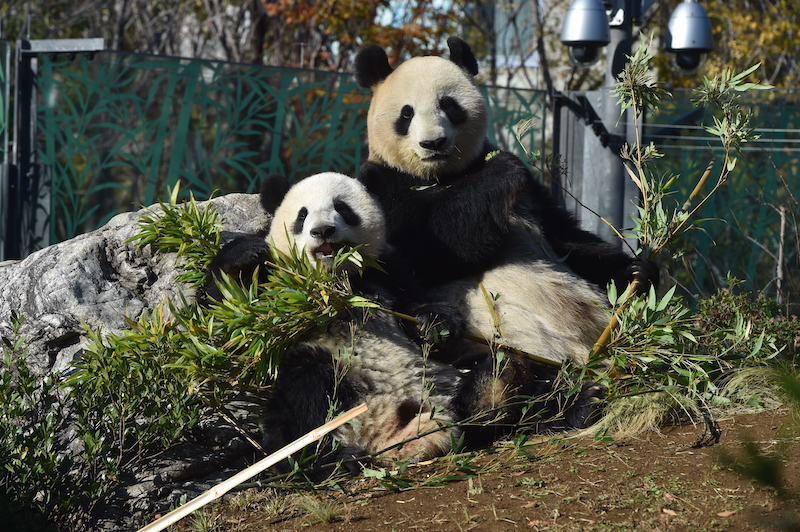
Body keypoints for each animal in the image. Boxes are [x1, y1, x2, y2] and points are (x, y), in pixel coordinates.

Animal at [354, 38, 656, 370]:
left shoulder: (531, 195)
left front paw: (637, 272)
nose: (433, 143)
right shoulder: (382, 185)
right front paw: (503, 169)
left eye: (449, 105)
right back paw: (437, 326)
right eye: (406, 114)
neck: (438, 176)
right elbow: (424, 252)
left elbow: (566, 238)